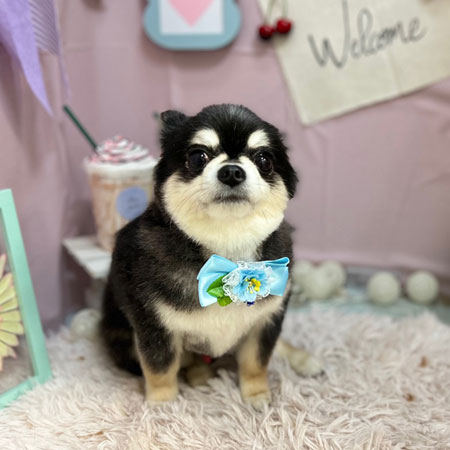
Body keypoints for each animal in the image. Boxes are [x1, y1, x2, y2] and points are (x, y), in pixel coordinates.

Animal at [100, 104, 321, 410]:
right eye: (198, 157)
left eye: (264, 159)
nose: (232, 172)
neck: (227, 251)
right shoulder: (153, 325)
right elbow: (160, 368)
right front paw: (161, 407)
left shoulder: (266, 321)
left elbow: (256, 362)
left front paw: (257, 397)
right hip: (121, 338)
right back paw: (198, 374)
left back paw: (303, 359)